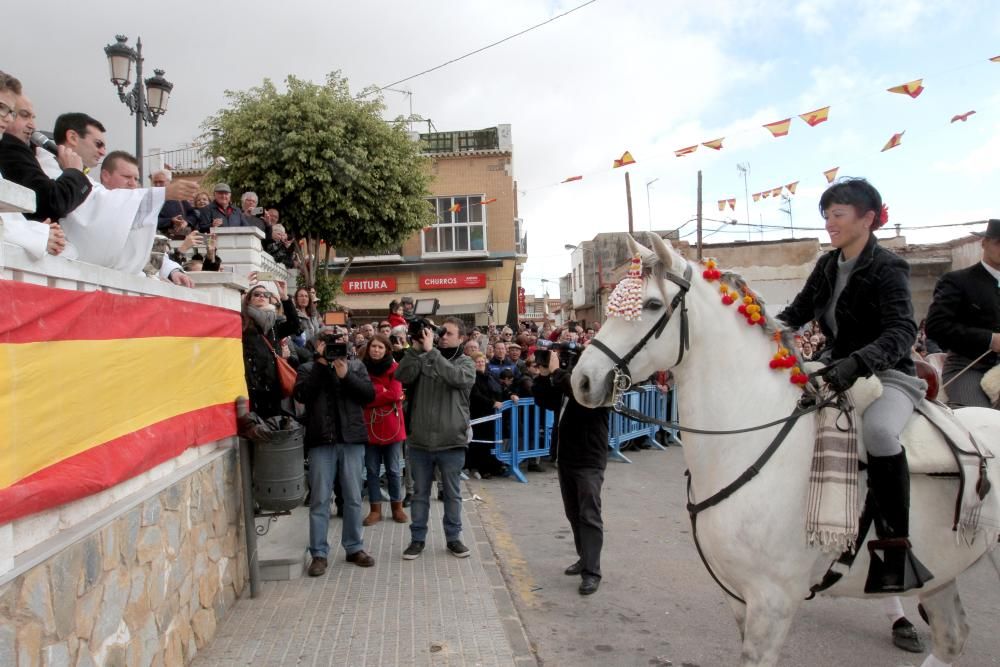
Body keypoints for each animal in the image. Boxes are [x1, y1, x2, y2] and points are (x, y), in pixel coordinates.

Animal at [572, 235, 1000, 667]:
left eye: (651, 305)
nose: (582, 381)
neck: (751, 437)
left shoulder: (772, 601)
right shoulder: (739, 597)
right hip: (944, 571)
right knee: (952, 635)